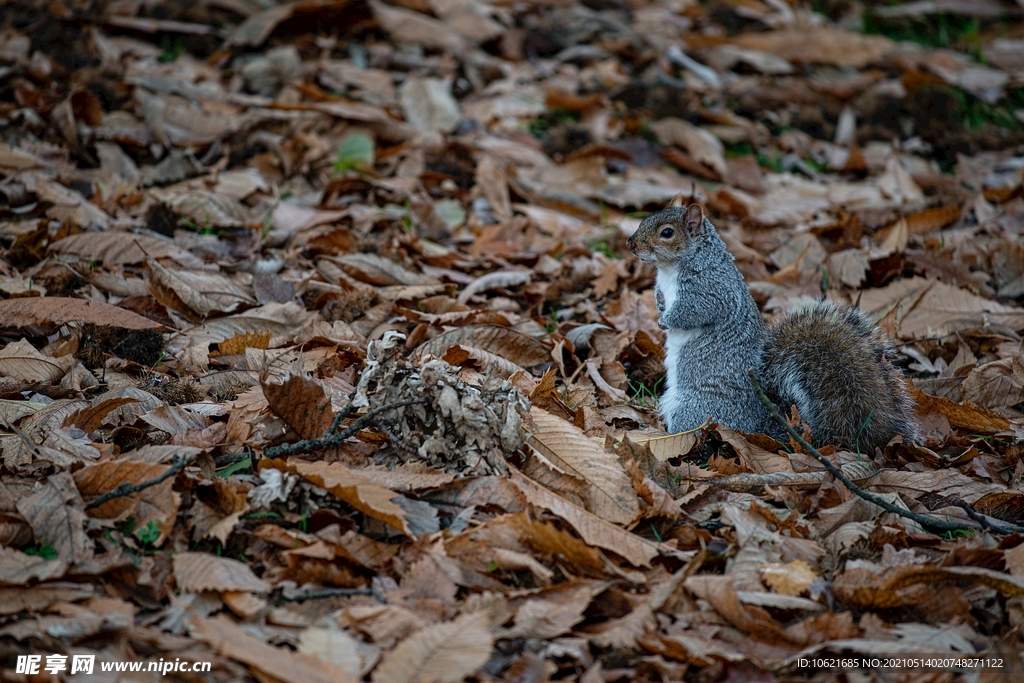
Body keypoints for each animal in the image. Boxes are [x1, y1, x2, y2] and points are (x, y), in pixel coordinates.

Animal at [622, 197, 921, 454]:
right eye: (647, 218)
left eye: (667, 232)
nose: (631, 244)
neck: (670, 270)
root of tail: (759, 428)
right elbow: (661, 297)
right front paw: (660, 307)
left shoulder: (713, 290)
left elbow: (696, 311)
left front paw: (666, 321)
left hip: (694, 408)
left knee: (692, 430)